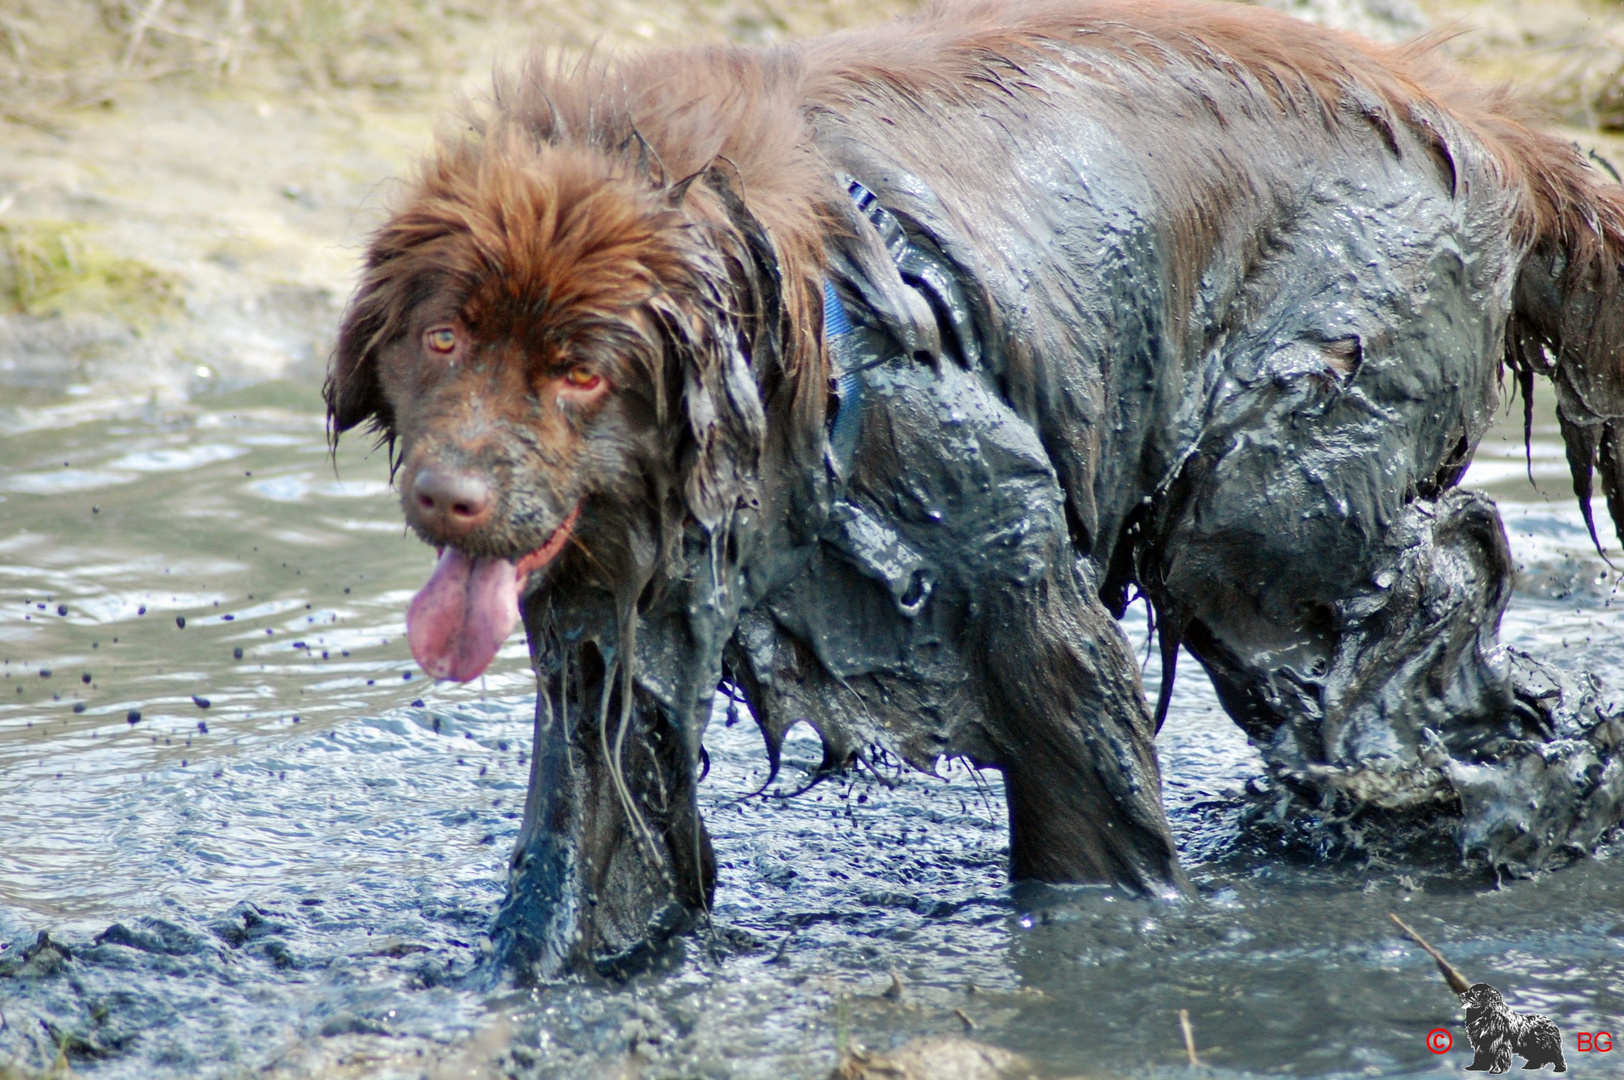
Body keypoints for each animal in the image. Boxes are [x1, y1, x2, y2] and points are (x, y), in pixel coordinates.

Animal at [323, 0, 1624, 974]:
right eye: (443, 339)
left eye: (580, 371)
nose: (447, 497)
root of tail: (1493, 134)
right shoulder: (616, 647)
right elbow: (588, 853)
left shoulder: (1025, 604)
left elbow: (1092, 833)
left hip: (1272, 484)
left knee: (1434, 571)